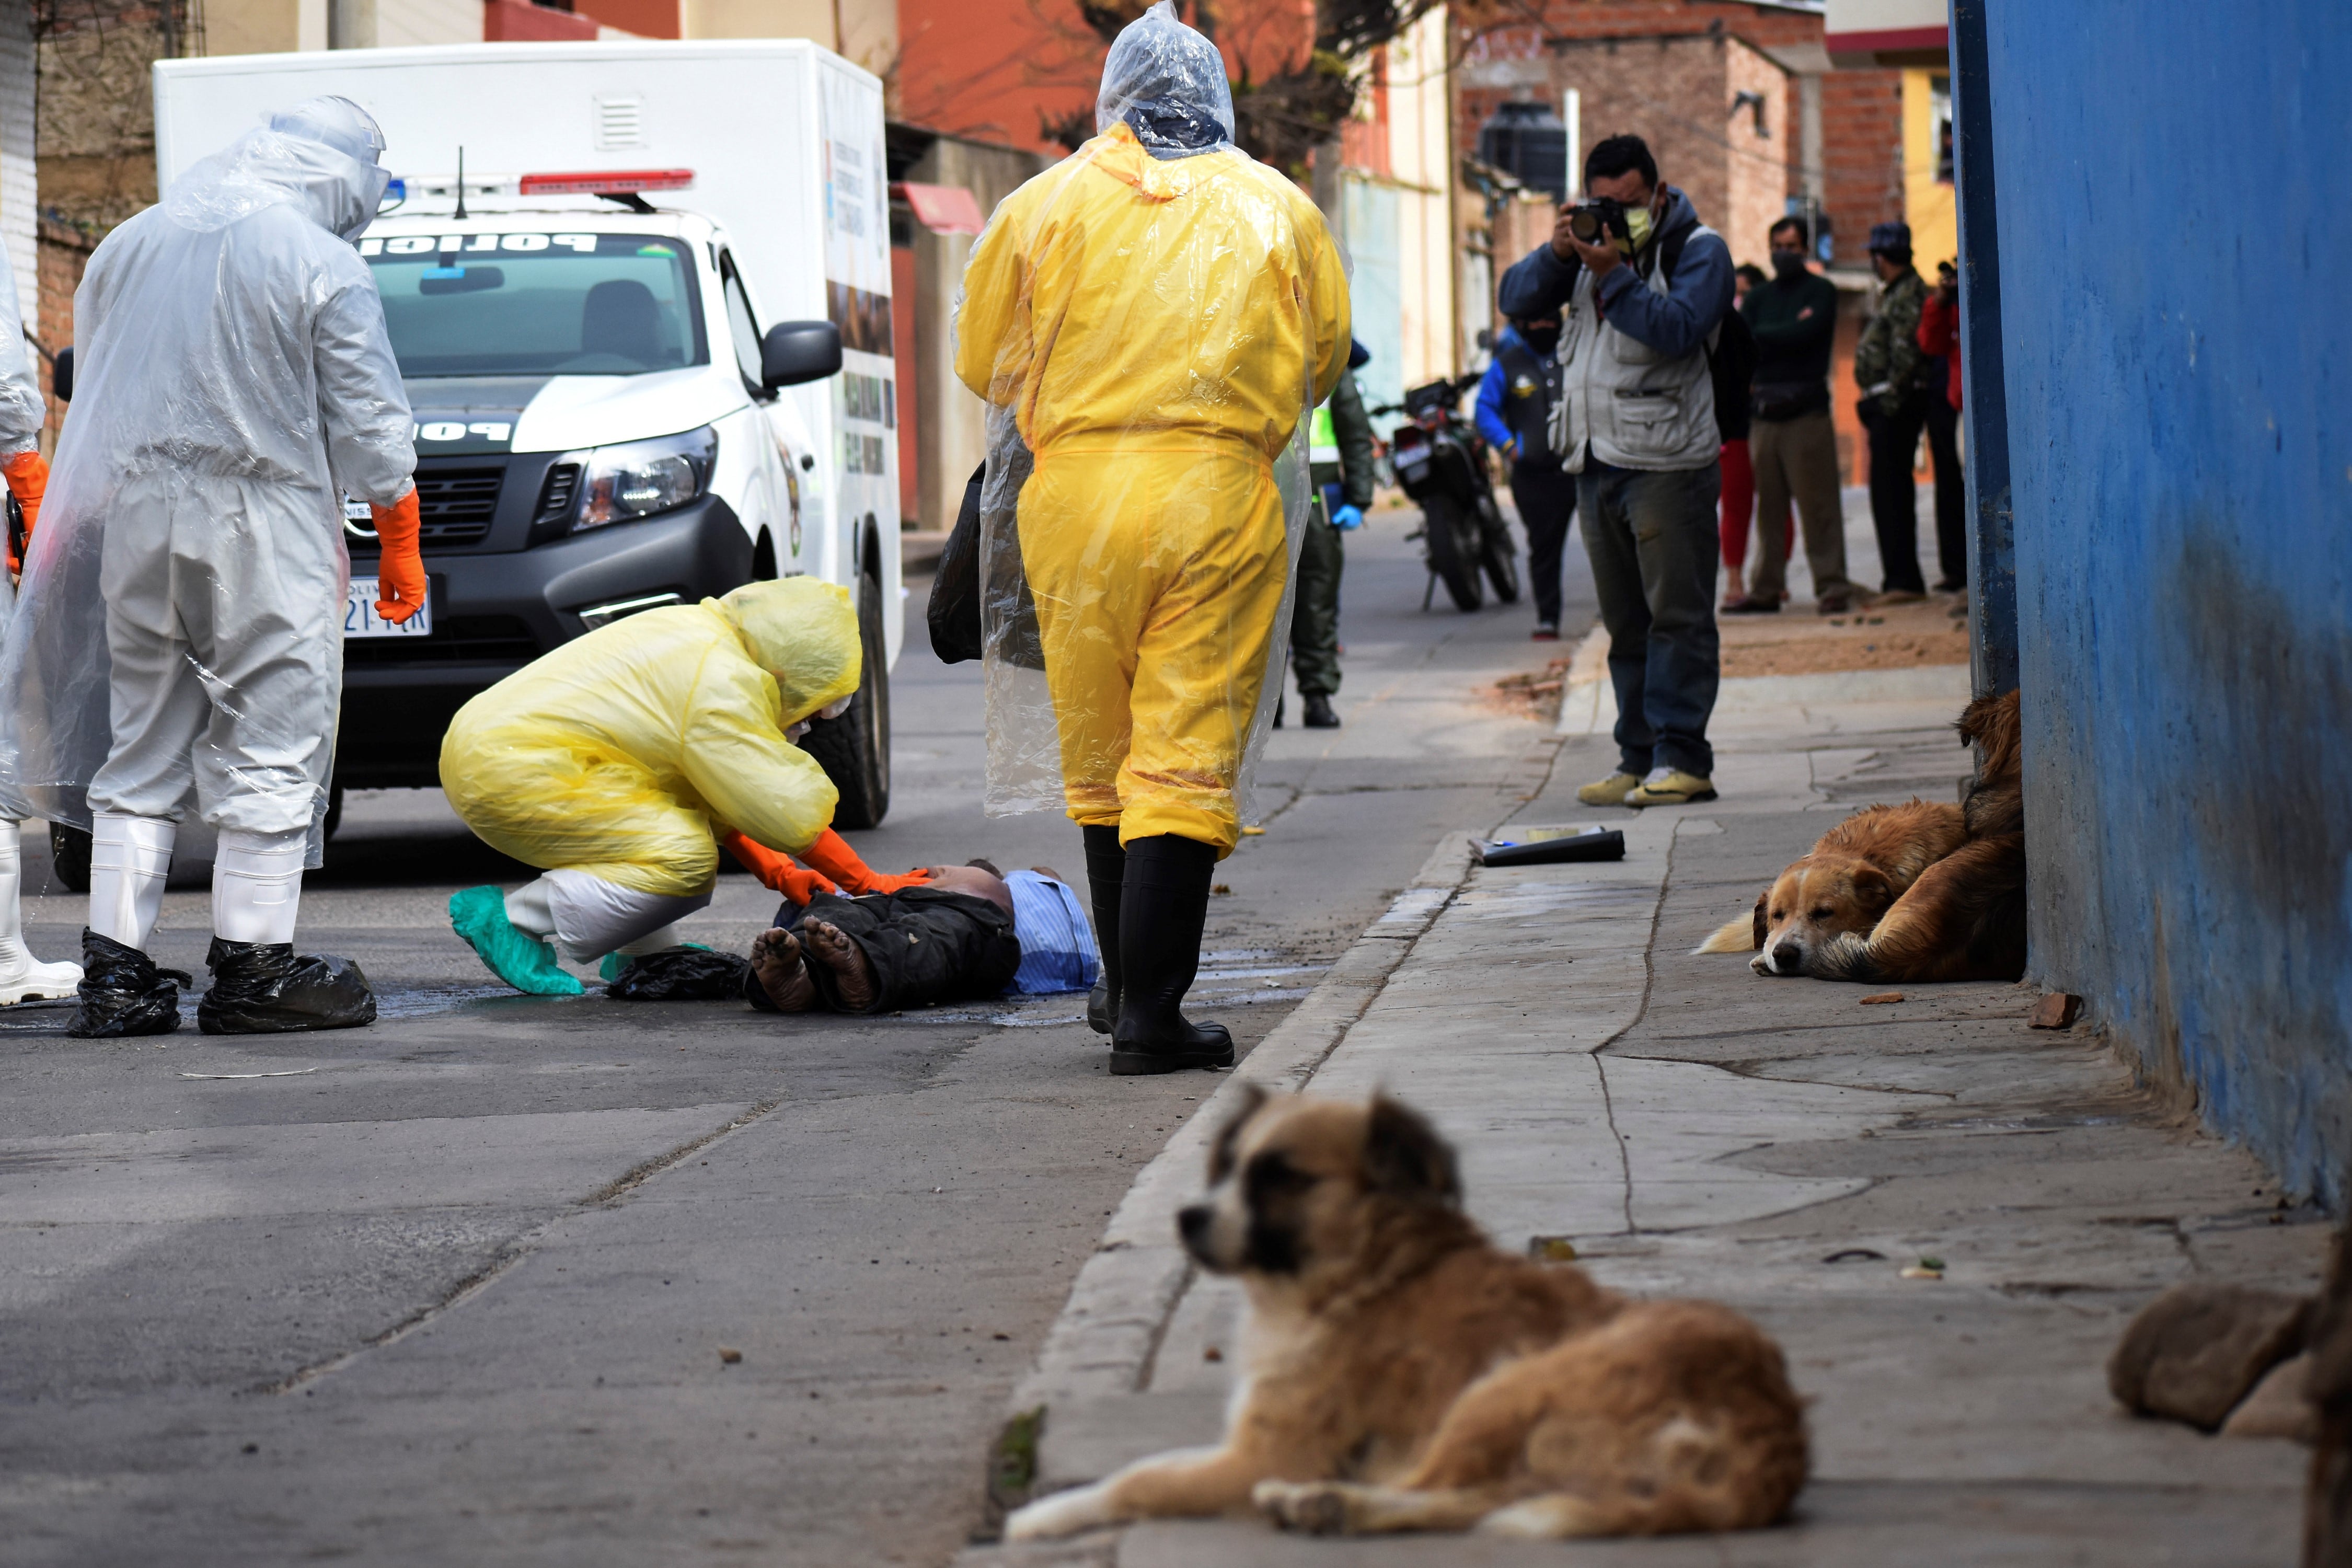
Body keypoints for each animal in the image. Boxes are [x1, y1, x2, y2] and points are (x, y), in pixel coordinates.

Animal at [1002, 1086, 1806, 1542]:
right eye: (1229, 1167)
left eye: (1281, 1176)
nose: (1188, 1219)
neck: (1368, 1272)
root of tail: (1769, 1439)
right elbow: (1147, 1464)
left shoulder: (1267, 1453)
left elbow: (1140, 1478)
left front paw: (1043, 1518)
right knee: (1465, 1499)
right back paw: (1329, 1509)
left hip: (1504, 1386)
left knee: (1435, 1486)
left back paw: (1323, 1502)